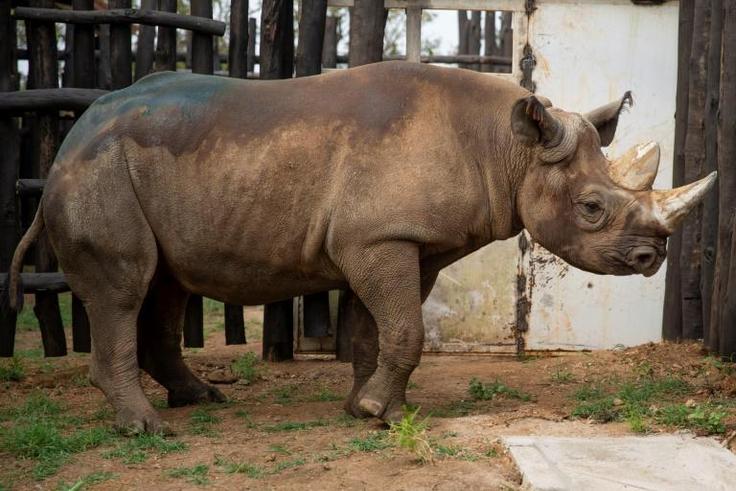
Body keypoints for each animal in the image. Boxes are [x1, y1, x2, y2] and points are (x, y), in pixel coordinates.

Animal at [7, 61, 715, 433]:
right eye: (592, 209)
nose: (651, 259)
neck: (507, 147)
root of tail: (71, 139)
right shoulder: (378, 237)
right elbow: (405, 329)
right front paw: (378, 410)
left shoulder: (397, 240)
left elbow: (380, 330)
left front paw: (373, 409)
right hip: (98, 171)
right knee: (126, 288)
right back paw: (148, 429)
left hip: (136, 168)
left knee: (166, 284)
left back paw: (200, 400)